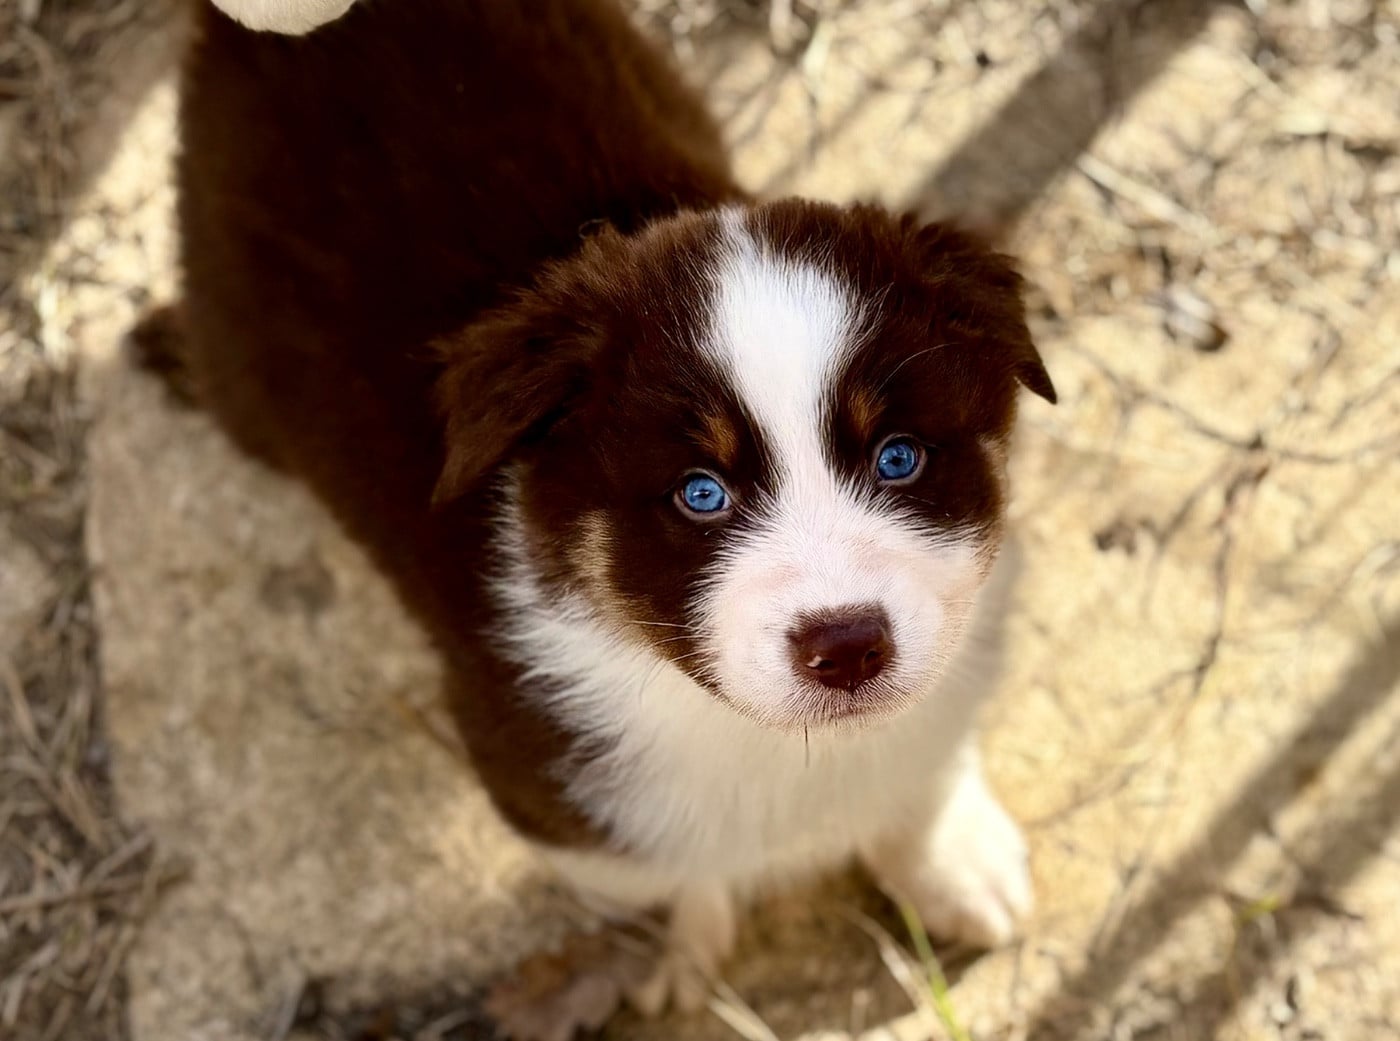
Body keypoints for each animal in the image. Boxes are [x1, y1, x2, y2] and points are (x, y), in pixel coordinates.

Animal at [146, 0, 1056, 1016]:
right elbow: (657, 878)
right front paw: (681, 948)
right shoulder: (548, 788)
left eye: (900, 457)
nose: (849, 646)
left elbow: (925, 754)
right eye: (700, 493)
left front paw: (951, 860)